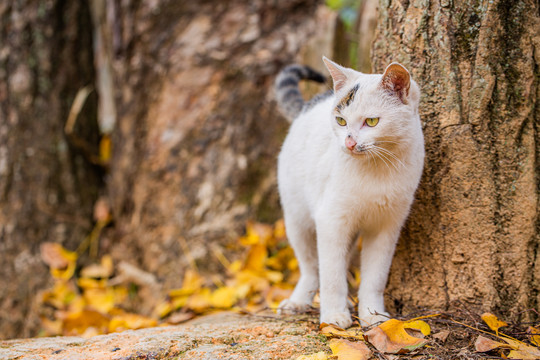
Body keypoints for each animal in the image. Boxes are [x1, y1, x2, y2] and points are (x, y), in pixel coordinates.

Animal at [276, 57, 424, 330]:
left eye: (372, 122)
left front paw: (372, 315)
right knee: (311, 267)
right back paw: (298, 302)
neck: (377, 171)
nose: (349, 143)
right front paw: (334, 316)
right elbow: (331, 275)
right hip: (297, 217)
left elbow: (375, 277)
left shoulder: (386, 227)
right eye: (341, 121)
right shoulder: (331, 220)